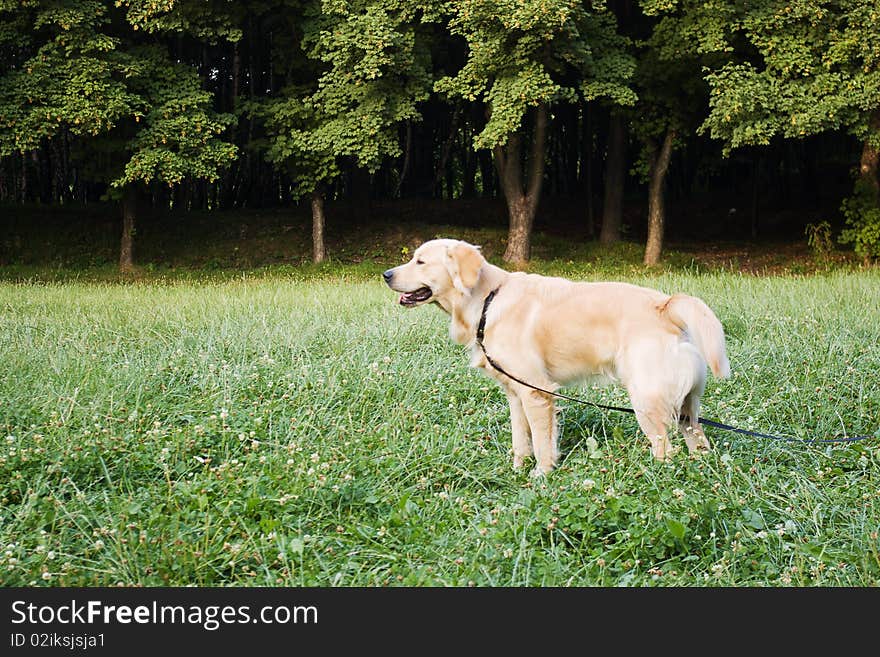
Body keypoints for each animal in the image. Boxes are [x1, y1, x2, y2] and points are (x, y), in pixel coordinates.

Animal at [382, 238, 732, 474]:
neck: (486, 301)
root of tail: (665, 305)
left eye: (420, 262)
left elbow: (540, 440)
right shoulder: (515, 393)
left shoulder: (536, 392)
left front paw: (542, 473)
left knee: (665, 449)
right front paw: (518, 468)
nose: (386, 274)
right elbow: (521, 438)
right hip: (687, 406)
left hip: (646, 399)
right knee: (697, 439)